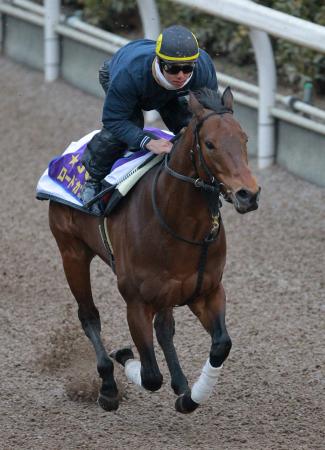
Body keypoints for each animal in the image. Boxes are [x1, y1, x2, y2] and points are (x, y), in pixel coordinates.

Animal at [48, 86, 258, 414]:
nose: (248, 194)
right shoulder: (136, 302)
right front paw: (124, 357)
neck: (182, 225)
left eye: (244, 138)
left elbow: (221, 345)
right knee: (89, 315)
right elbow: (150, 376)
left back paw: (180, 383)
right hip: (72, 252)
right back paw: (108, 386)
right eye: (210, 144)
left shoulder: (206, 290)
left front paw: (189, 397)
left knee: (164, 328)